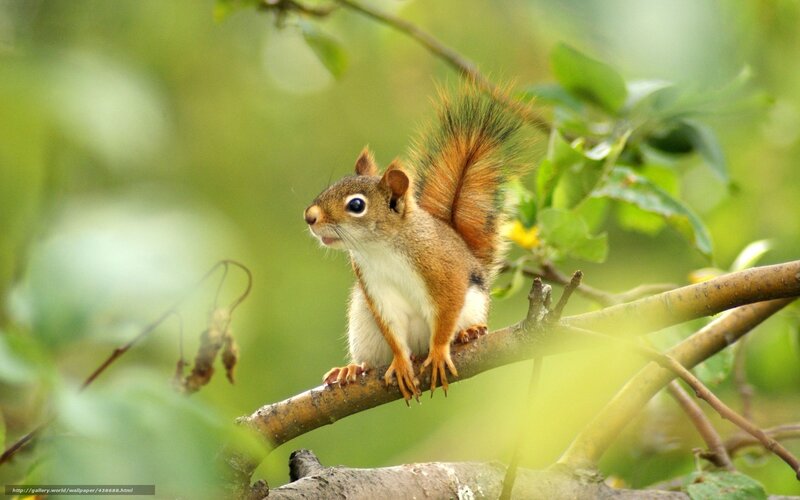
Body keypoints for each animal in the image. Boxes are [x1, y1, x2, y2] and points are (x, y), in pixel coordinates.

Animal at [304, 88, 524, 401]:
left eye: (356, 205)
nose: (309, 216)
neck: (380, 249)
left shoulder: (444, 271)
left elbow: (446, 312)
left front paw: (441, 350)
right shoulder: (375, 288)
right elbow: (393, 330)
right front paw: (400, 362)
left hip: (472, 305)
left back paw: (468, 333)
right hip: (362, 324)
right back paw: (352, 369)